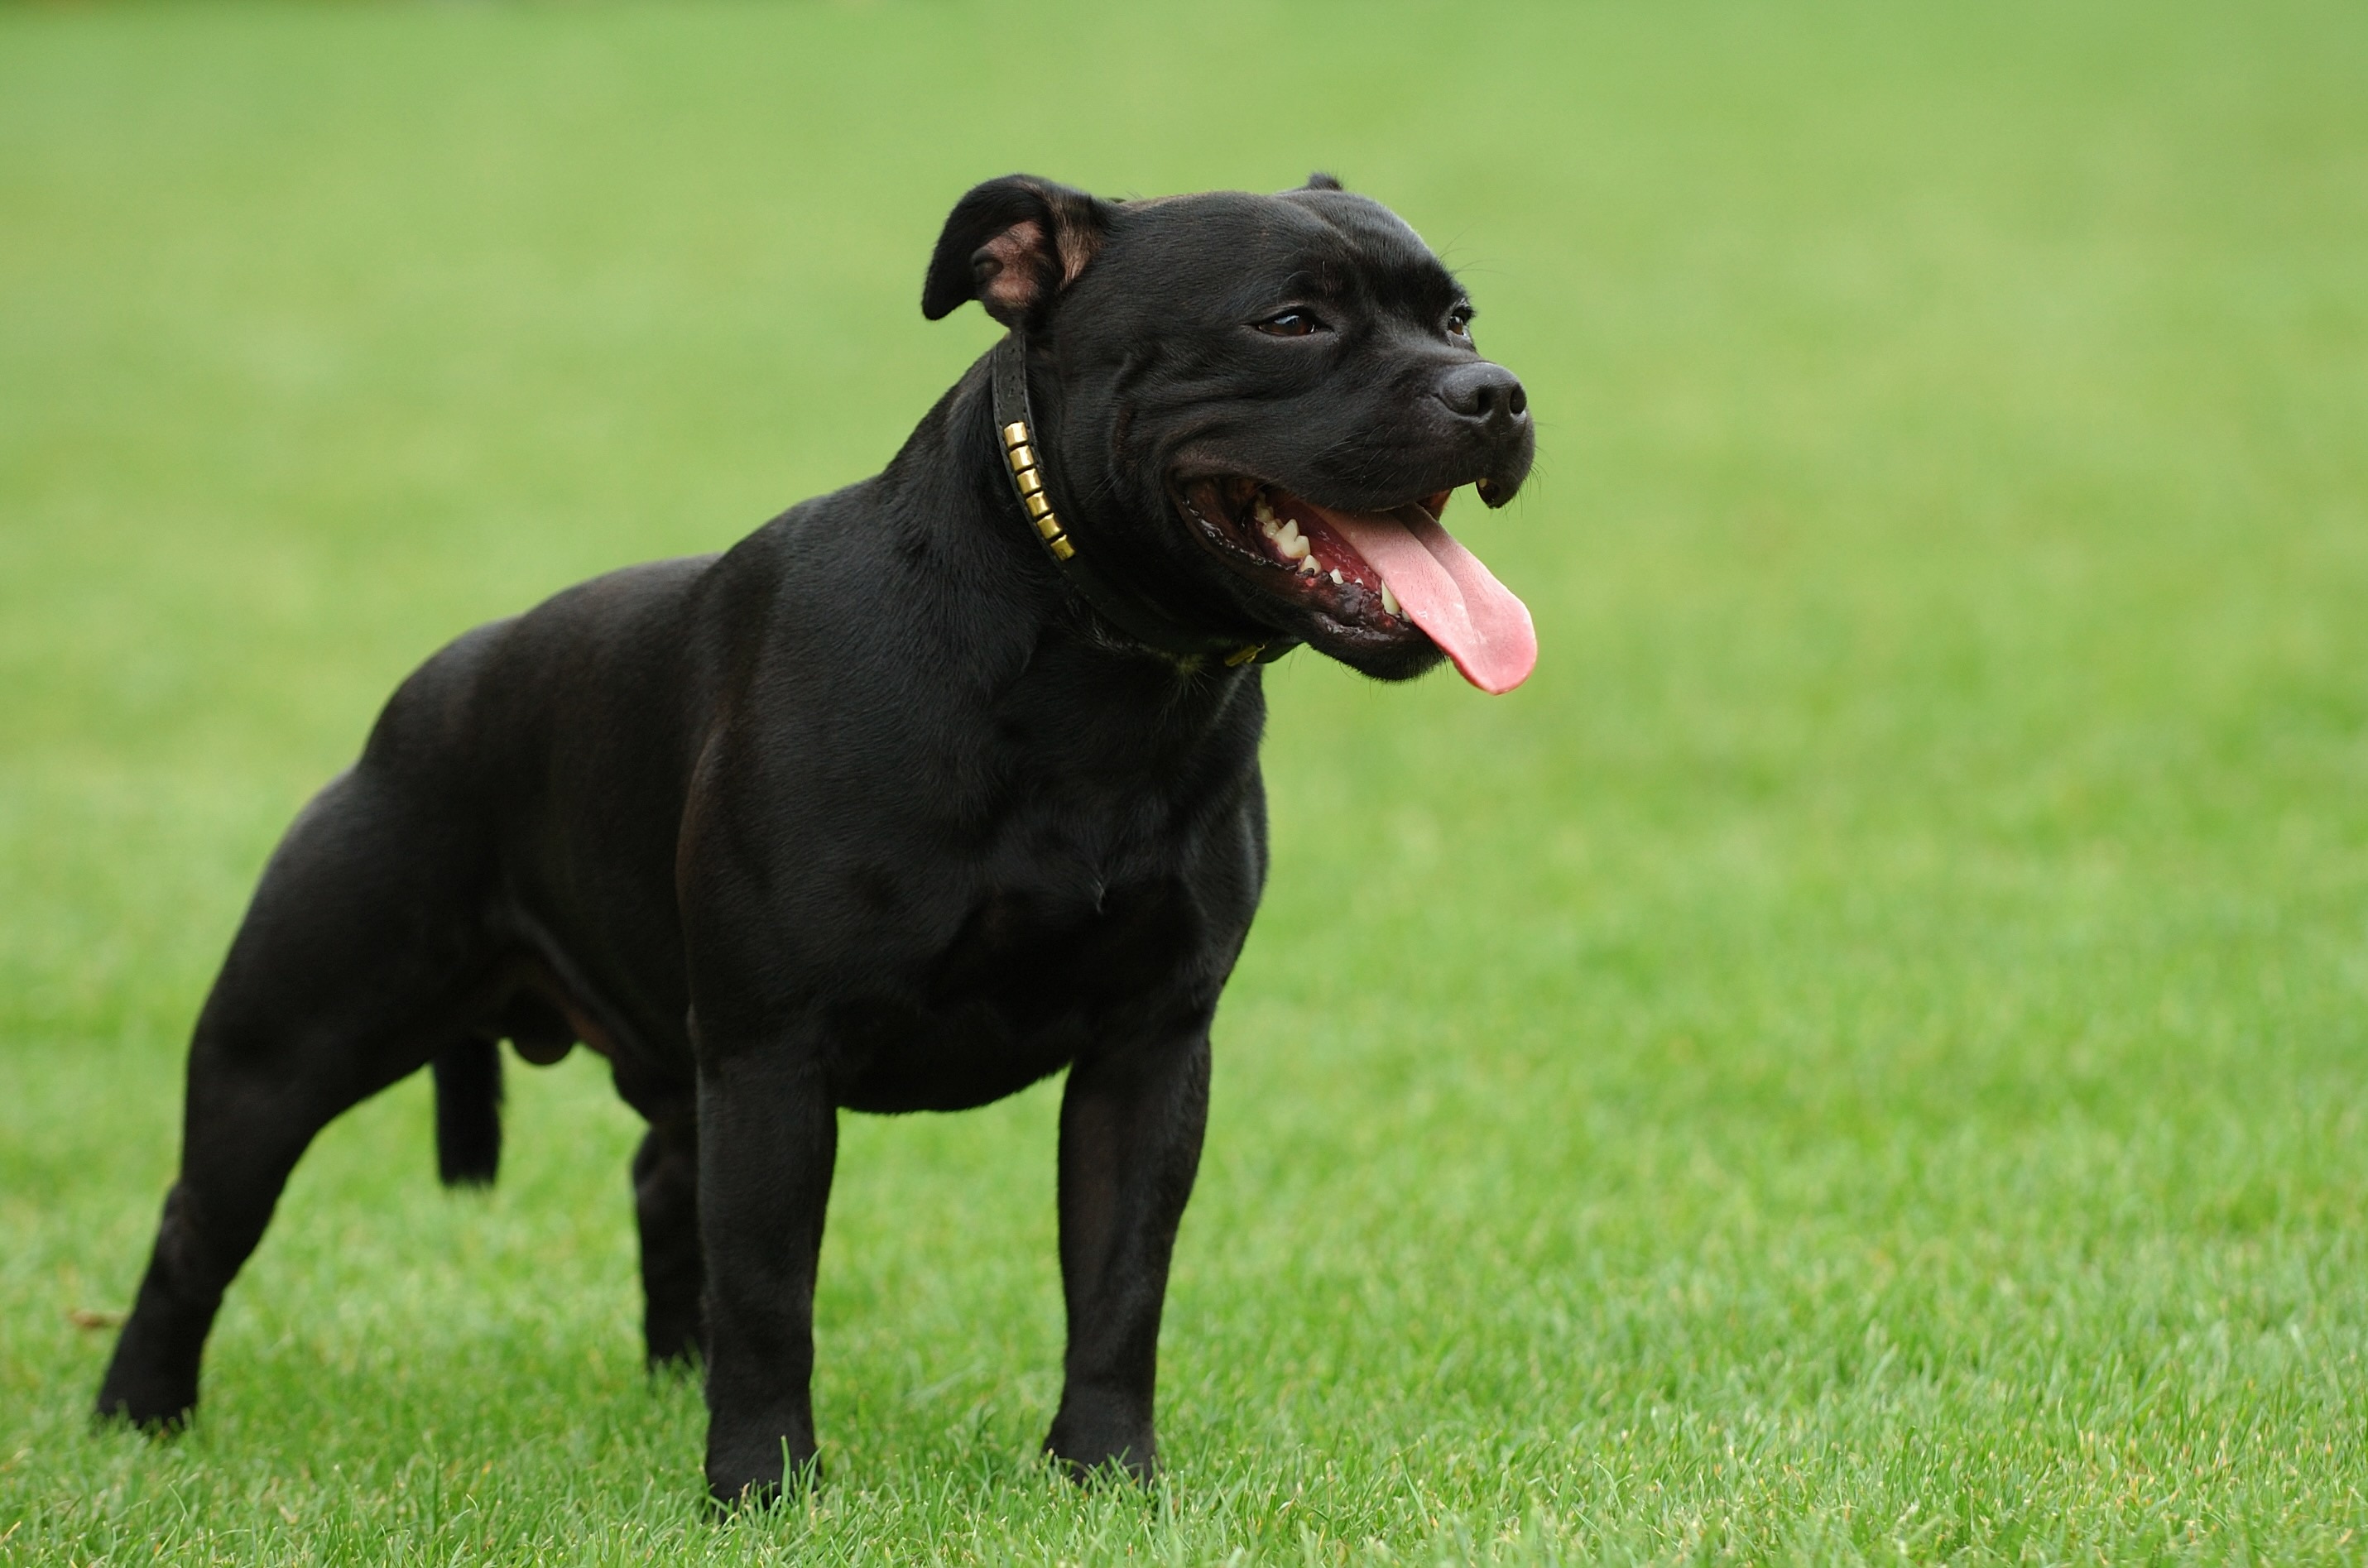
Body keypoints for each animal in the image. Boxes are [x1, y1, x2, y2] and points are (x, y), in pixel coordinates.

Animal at [97, 175, 1534, 1516]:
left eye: (1458, 315)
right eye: (1290, 321)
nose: (1500, 392)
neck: (1089, 661)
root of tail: (429, 688)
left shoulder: (1150, 1046)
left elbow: (1121, 1284)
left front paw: (1108, 1476)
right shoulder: (775, 1057)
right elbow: (774, 1289)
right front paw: (760, 1488)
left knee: (661, 1178)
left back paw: (667, 1376)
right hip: (287, 1045)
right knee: (198, 1223)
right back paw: (139, 1416)